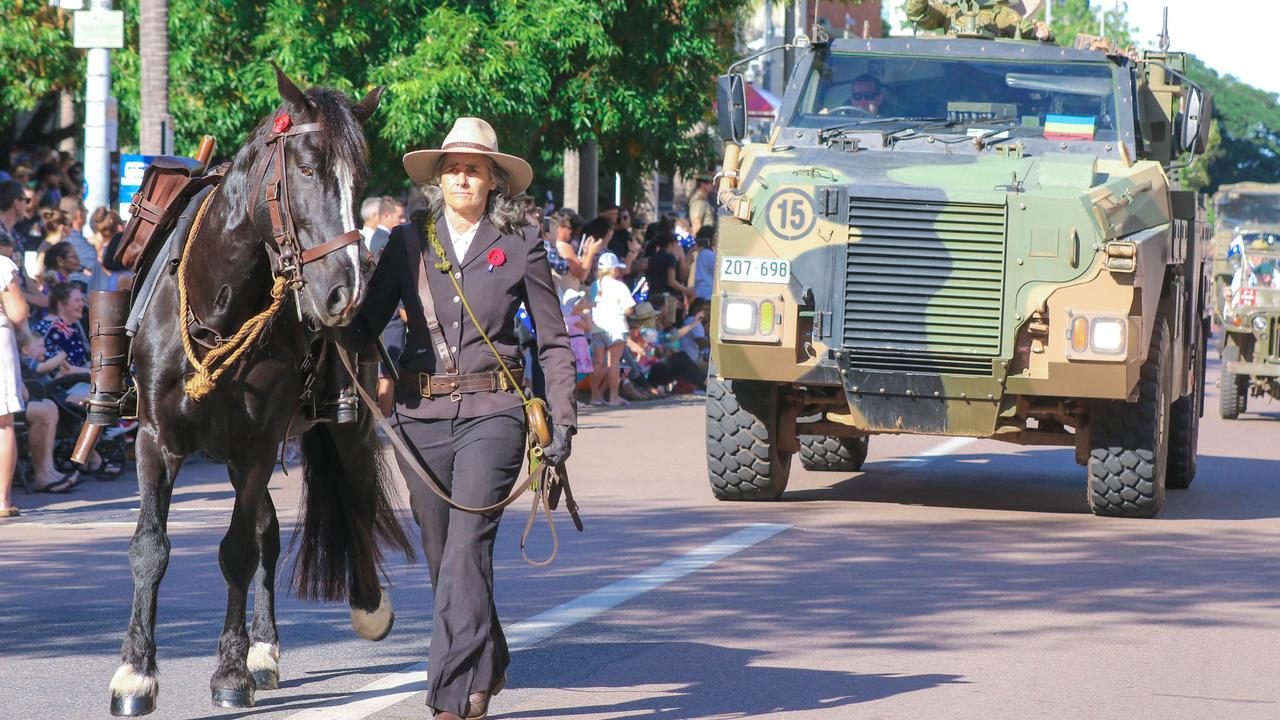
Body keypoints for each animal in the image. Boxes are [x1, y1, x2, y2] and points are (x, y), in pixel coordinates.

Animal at [108, 65, 414, 712]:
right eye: (307, 169)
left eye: (362, 178)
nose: (346, 289)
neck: (217, 304)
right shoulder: (156, 437)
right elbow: (151, 548)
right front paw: (135, 673)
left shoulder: (256, 444)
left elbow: (236, 552)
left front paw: (229, 673)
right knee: (270, 532)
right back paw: (264, 649)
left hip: (342, 425)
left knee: (347, 502)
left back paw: (363, 608)